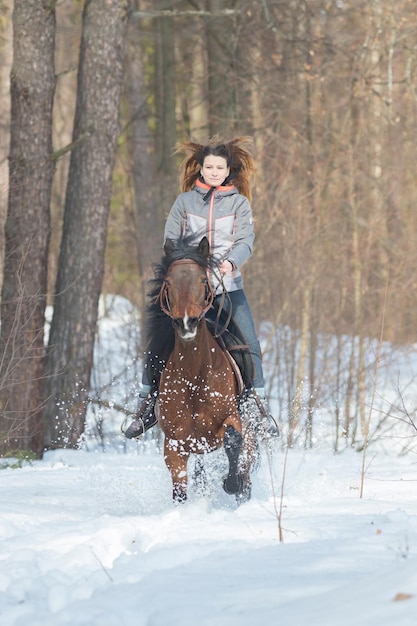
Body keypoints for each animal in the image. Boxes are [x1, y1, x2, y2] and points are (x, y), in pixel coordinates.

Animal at [154, 234, 255, 502]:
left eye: (202, 279)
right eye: (167, 282)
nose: (186, 322)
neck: (195, 377)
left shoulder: (231, 419)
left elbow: (233, 439)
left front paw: (231, 484)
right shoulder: (174, 442)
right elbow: (179, 488)